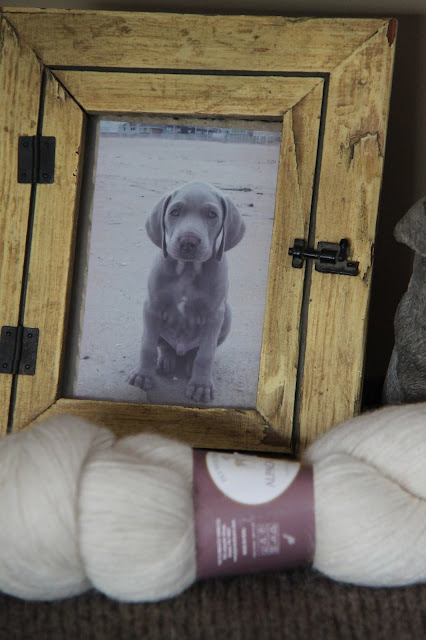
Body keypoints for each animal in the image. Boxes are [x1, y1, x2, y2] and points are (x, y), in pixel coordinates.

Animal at [127, 181, 246, 403]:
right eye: (174, 212)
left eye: (212, 214)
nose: (188, 241)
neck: (188, 270)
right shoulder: (151, 307)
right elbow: (147, 346)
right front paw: (142, 376)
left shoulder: (214, 315)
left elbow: (206, 354)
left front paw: (201, 386)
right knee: (165, 347)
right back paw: (166, 361)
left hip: (227, 315)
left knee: (196, 352)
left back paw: (190, 364)